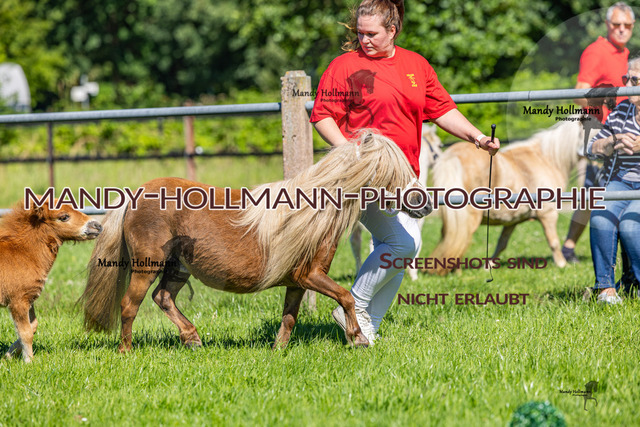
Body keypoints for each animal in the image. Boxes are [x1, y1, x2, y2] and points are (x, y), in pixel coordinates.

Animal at [0, 200, 102, 362]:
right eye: (64, 217)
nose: (97, 226)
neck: (22, 253)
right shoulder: (18, 300)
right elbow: (25, 332)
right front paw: (29, 361)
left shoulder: (29, 298)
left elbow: (33, 326)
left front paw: (8, 356)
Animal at [79, 131, 433, 351]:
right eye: (392, 171)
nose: (426, 203)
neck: (310, 214)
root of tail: (136, 194)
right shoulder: (311, 275)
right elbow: (345, 296)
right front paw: (357, 338)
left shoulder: (297, 281)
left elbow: (289, 317)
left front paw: (278, 350)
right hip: (147, 265)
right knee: (130, 304)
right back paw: (126, 350)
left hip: (178, 267)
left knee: (163, 298)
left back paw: (192, 339)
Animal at [424, 117, 594, 275]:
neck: (546, 160)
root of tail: (452, 156)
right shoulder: (548, 214)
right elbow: (554, 241)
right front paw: (562, 265)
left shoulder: (512, 220)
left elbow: (501, 244)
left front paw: (488, 266)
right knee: (461, 238)